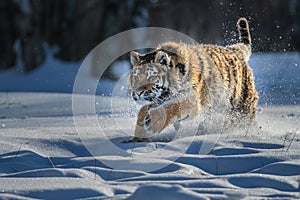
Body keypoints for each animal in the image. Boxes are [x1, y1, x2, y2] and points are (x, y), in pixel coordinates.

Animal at [122, 17, 258, 142]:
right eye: (136, 77)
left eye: (151, 76)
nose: (138, 93)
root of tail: (234, 50)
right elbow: (143, 110)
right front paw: (137, 136)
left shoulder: (192, 100)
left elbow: (172, 106)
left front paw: (152, 123)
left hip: (242, 107)